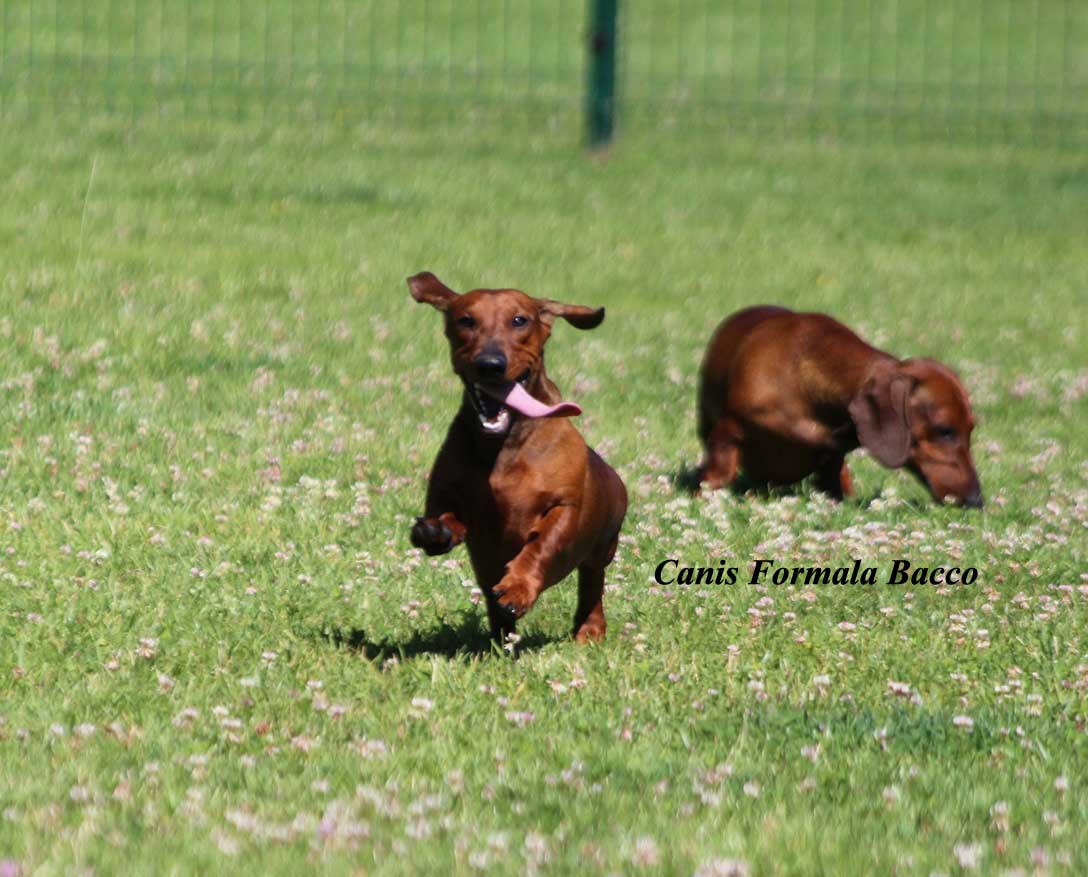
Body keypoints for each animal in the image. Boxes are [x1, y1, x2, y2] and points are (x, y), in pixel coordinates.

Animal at [409, 273, 631, 644]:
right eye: (466, 320)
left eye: (519, 320)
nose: (489, 364)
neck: (503, 445)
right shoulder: (449, 499)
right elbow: (450, 519)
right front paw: (435, 532)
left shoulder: (564, 507)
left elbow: (541, 544)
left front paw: (518, 588)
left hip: (603, 547)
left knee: (592, 583)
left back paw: (590, 628)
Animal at [696, 304, 987, 509]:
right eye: (945, 431)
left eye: (971, 428)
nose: (977, 500)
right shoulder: (728, 429)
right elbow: (718, 471)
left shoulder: (833, 455)